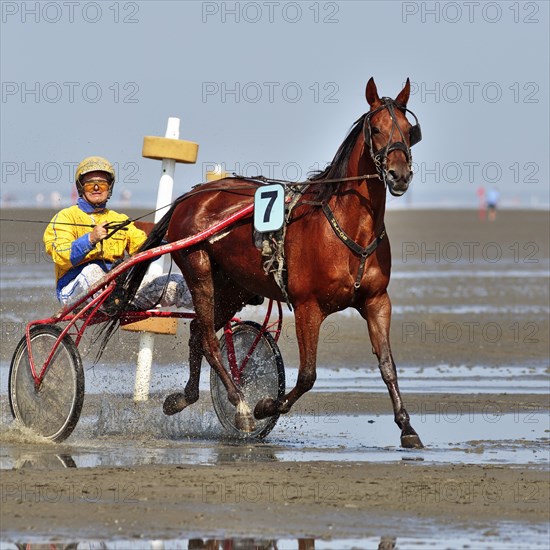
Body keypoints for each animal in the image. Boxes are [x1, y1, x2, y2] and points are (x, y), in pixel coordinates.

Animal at [117, 76, 426, 448]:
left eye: (409, 130)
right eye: (377, 128)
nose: (399, 175)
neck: (349, 227)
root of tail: (192, 195)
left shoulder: (377, 301)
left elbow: (387, 365)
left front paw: (407, 426)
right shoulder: (309, 307)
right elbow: (307, 376)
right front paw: (264, 405)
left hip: (234, 286)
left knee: (196, 333)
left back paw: (183, 398)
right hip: (198, 267)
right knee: (209, 340)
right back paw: (240, 405)